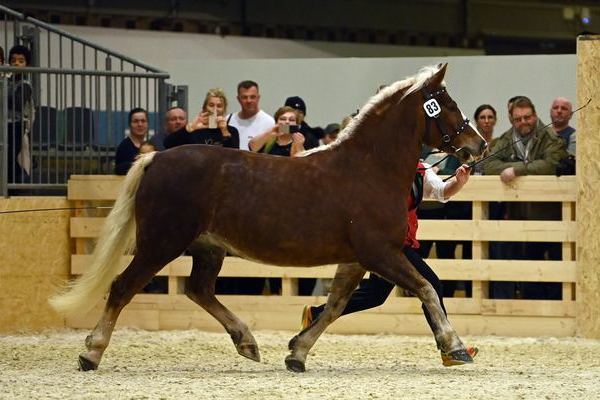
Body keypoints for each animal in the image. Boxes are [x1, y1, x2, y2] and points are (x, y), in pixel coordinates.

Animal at [49, 62, 486, 372]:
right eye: (447, 104)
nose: (477, 146)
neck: (369, 168)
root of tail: (154, 158)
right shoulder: (381, 253)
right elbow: (426, 289)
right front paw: (455, 347)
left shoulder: (358, 259)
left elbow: (335, 306)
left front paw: (297, 353)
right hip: (161, 243)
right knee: (123, 287)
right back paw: (91, 354)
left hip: (207, 248)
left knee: (198, 290)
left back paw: (247, 341)